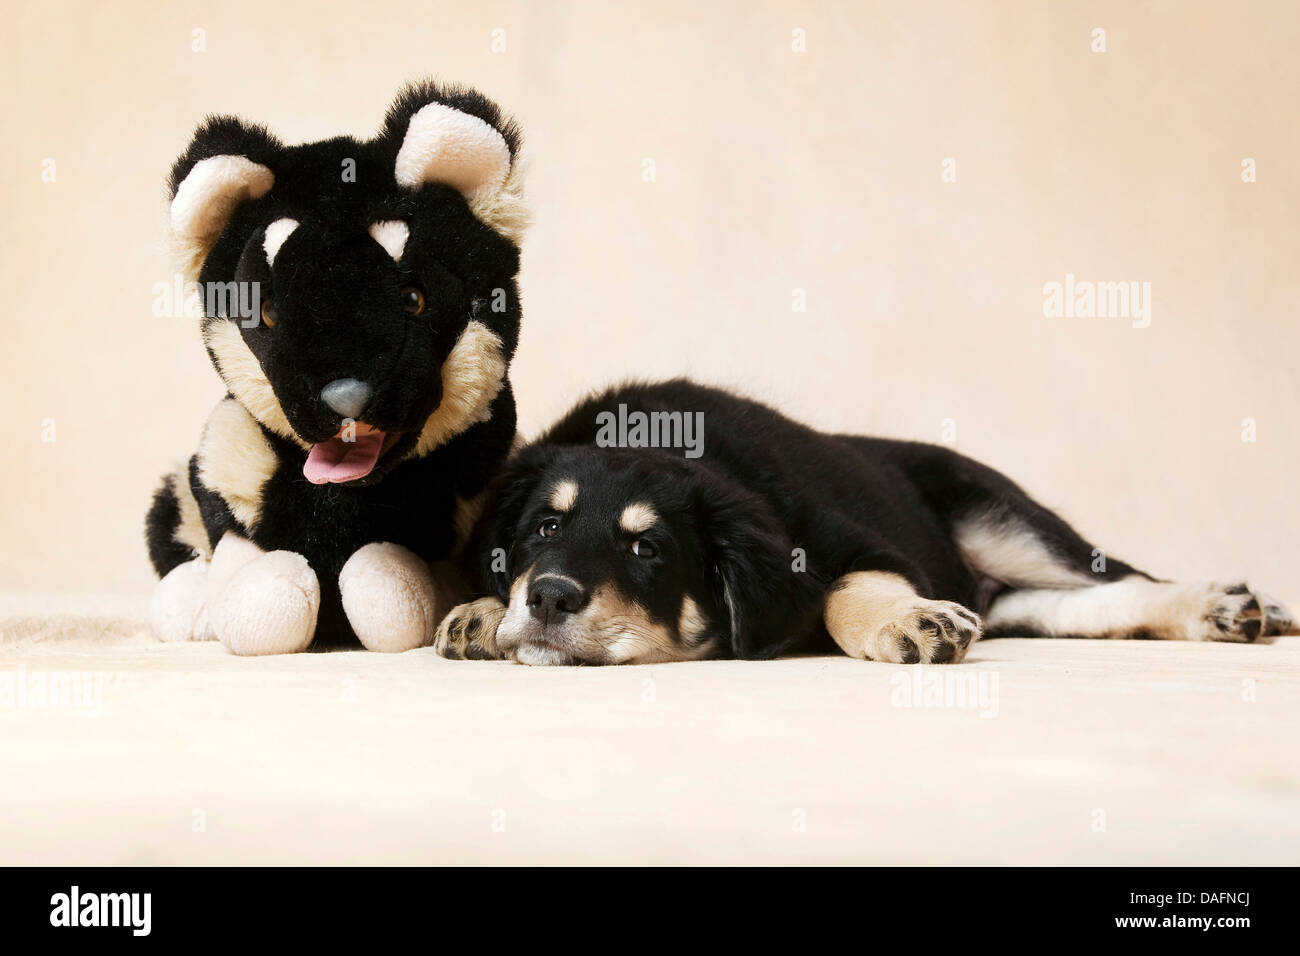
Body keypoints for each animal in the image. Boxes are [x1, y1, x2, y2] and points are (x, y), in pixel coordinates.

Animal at [439, 379, 1300, 665]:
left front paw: (911, 625)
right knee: (1073, 608)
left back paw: (1230, 606)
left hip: (1001, 518)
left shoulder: (850, 544)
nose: (548, 598)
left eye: (647, 548)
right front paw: (481, 613)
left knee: (1124, 579)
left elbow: (844, 590)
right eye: (543, 530)